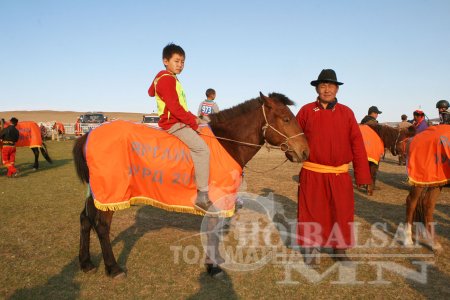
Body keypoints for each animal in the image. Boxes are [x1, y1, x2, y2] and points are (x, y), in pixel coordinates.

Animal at [73, 92, 310, 278]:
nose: (305, 151)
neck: (227, 143)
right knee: (101, 226)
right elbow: (213, 232)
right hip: (111, 192)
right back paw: (113, 268)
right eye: (286, 119)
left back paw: (86, 263)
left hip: (97, 192)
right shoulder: (218, 199)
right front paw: (213, 267)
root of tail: (88, 134)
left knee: (85, 219)